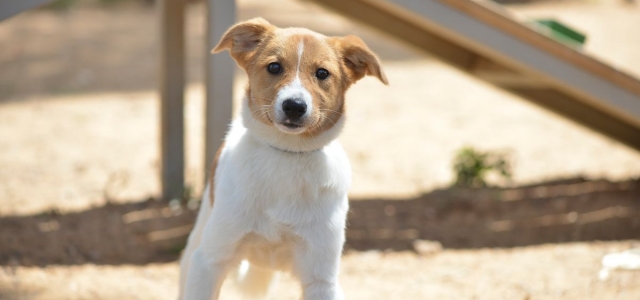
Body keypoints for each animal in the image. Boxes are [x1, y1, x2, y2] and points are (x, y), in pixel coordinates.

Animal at [180, 18, 388, 300]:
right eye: (274, 67)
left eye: (322, 73)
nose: (294, 106)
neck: (288, 156)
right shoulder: (210, 261)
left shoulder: (320, 278)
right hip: (198, 243)